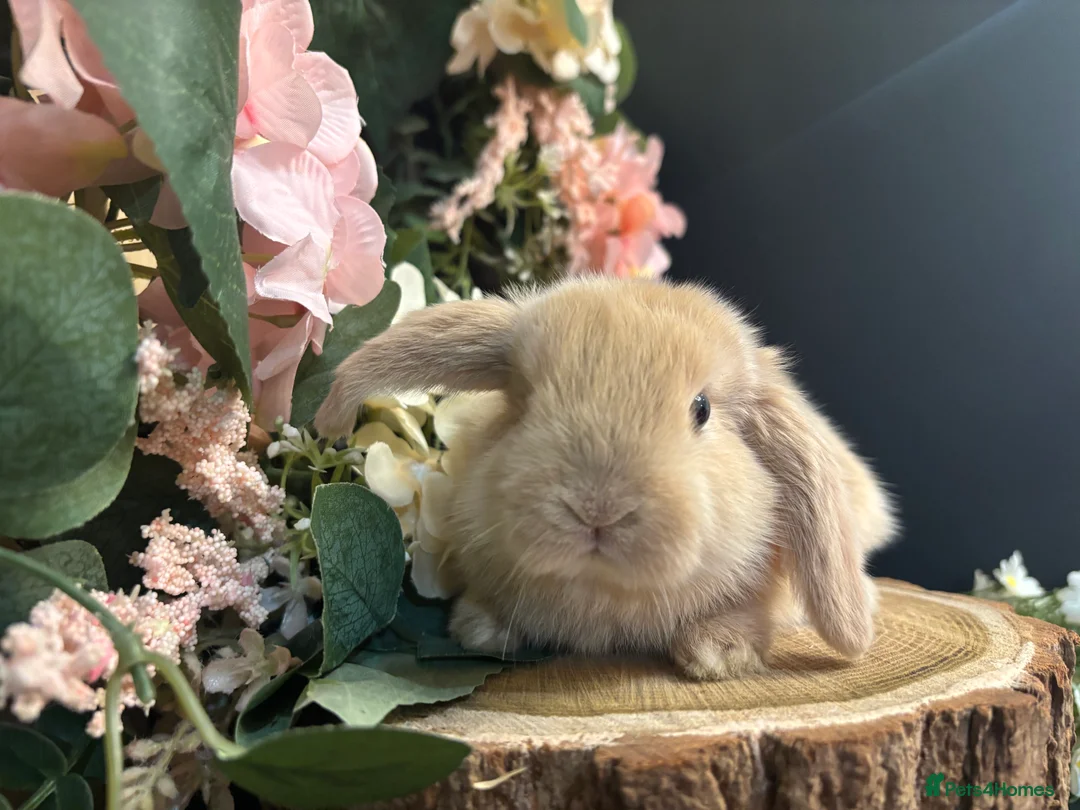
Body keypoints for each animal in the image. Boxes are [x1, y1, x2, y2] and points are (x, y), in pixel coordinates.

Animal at [314, 276, 898, 680]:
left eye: (702, 409)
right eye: (525, 401)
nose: (596, 510)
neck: (604, 595)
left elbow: (752, 613)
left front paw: (717, 654)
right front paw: (478, 630)